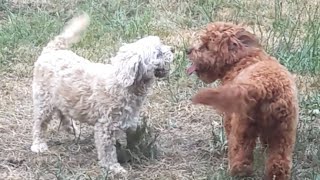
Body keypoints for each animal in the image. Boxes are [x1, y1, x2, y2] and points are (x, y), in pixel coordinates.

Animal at [29, 13, 174, 176]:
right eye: (158, 53)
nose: (173, 49)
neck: (122, 84)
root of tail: (51, 51)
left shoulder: (126, 120)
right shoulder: (105, 127)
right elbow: (108, 151)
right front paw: (113, 167)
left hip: (60, 96)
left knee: (62, 112)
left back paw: (71, 129)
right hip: (44, 101)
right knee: (40, 124)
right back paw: (39, 144)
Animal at [186, 22, 298, 180]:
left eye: (206, 46)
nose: (187, 50)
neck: (242, 59)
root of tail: (263, 86)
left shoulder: (229, 118)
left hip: (243, 125)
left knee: (241, 154)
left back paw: (237, 172)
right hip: (284, 129)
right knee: (279, 161)